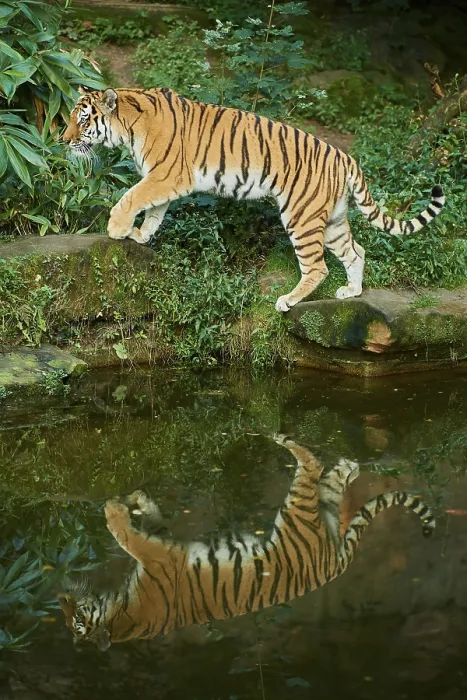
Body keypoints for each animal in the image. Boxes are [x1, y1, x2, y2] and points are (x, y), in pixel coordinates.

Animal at [58, 435, 435, 651]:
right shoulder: (164, 551)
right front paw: (135, 501)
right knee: (331, 475)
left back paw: (280, 437)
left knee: (313, 462)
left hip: (297, 508)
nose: (61, 598)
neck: (118, 614)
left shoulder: (160, 558)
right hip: (318, 509)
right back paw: (348, 464)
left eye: (75, 619)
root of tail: (333, 568)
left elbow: (128, 536)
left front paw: (116, 507)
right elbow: (147, 526)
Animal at [61, 87, 445, 313]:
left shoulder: (166, 175)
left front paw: (117, 227)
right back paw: (351, 292)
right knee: (356, 251)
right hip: (333, 219)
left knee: (317, 266)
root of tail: (345, 156)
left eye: (82, 119)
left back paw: (288, 300)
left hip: (301, 215)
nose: (62, 139)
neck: (128, 127)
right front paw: (141, 235)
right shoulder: (164, 179)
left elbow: (132, 197)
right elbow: (154, 210)